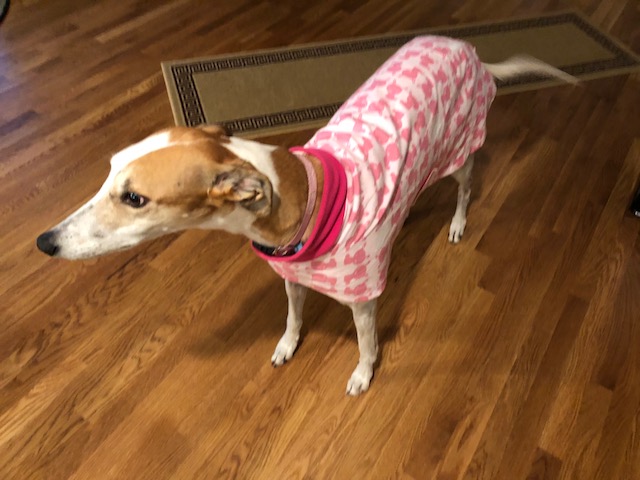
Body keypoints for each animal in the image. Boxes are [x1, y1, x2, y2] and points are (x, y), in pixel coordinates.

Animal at [36, 36, 575, 395]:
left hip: (461, 149)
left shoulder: (362, 300)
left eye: (134, 198)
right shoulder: (292, 276)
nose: (45, 242)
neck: (298, 193)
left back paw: (459, 222)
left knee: (466, 186)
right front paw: (286, 346)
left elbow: (367, 343)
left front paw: (362, 375)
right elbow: (294, 317)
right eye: (109, 171)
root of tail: (468, 49)